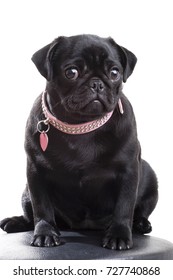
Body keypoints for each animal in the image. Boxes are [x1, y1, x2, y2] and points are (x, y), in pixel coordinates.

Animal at [0, 34, 158, 250]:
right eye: (71, 72)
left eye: (115, 73)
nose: (97, 83)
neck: (81, 125)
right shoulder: (35, 171)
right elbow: (41, 206)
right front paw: (45, 232)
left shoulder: (129, 171)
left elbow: (124, 207)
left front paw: (119, 235)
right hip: (26, 191)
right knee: (30, 214)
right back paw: (15, 221)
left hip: (150, 177)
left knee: (140, 210)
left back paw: (141, 224)